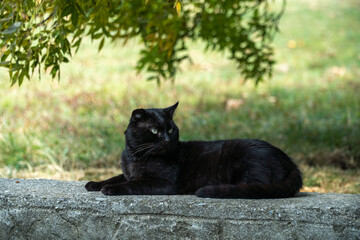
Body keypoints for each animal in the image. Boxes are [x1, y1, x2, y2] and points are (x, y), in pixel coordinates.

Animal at [85, 102, 300, 199]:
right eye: (154, 130)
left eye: (171, 129)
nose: (166, 139)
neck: (135, 157)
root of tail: (289, 162)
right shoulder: (128, 172)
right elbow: (116, 176)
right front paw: (94, 183)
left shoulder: (163, 183)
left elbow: (132, 184)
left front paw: (110, 189)